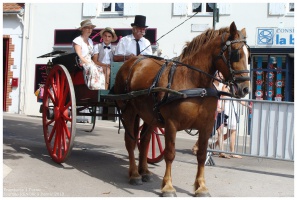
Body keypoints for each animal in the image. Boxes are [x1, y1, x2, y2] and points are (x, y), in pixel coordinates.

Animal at [113, 21, 250, 196]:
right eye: (236, 54)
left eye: (249, 54)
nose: (245, 89)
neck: (194, 82)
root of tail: (131, 62)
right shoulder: (171, 124)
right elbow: (170, 154)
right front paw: (168, 186)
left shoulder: (206, 126)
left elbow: (201, 154)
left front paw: (201, 186)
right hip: (129, 111)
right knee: (130, 142)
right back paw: (135, 174)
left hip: (149, 115)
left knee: (144, 141)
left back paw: (144, 171)